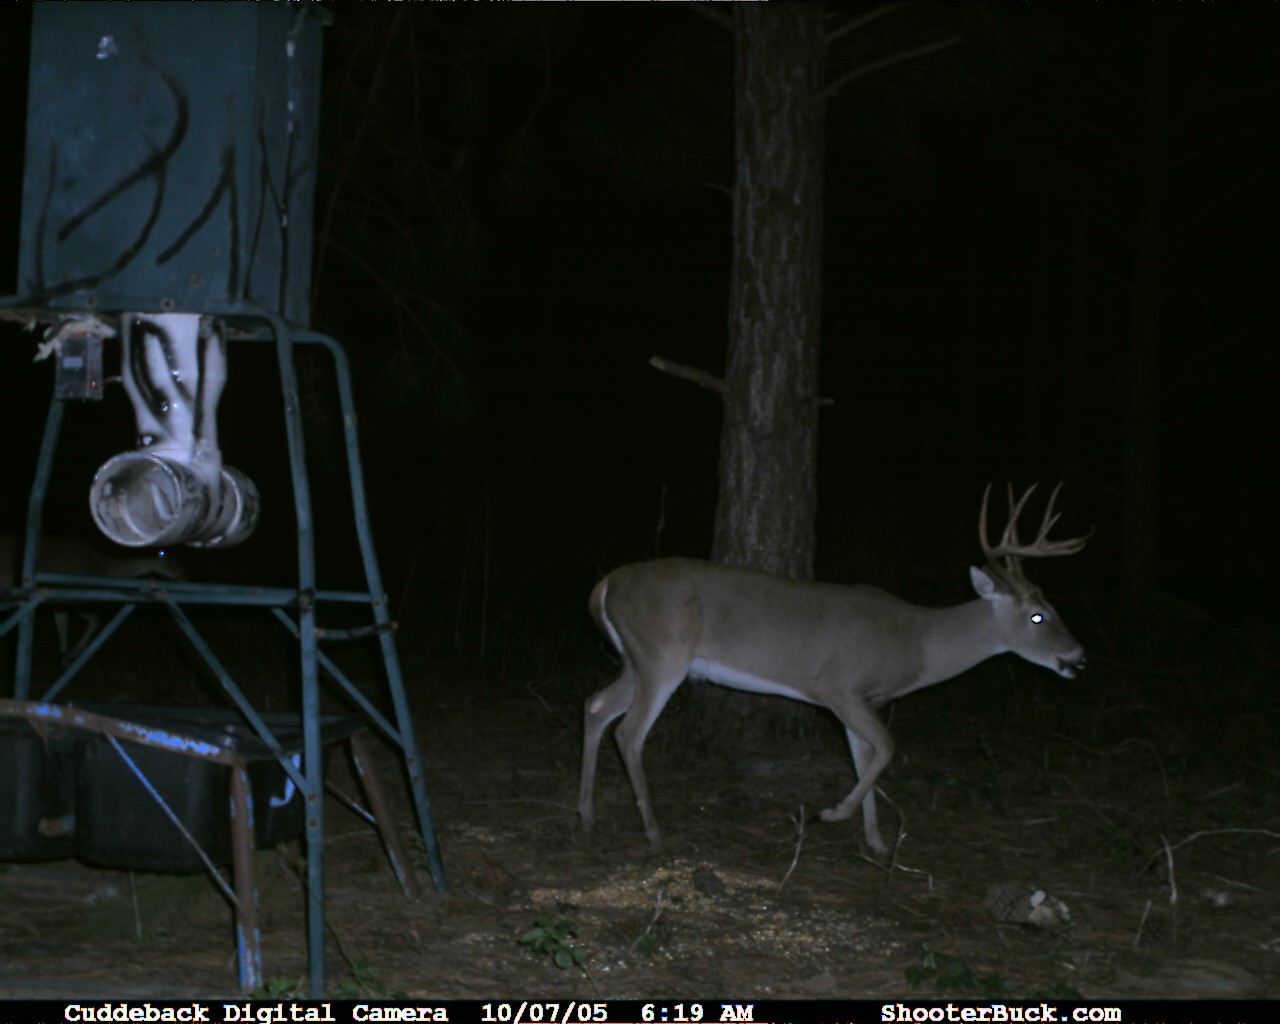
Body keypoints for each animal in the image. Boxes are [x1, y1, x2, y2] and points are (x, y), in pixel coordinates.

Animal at [0, 534, 185, 664]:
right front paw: (72, 655)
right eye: (162, 552)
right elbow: (94, 620)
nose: (182, 572)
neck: (105, 569)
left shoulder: (57, 601)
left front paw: (64, 658)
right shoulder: (71, 597)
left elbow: (62, 625)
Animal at [578, 483, 1091, 855]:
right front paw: (833, 814)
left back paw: (585, 814)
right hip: (662, 655)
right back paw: (653, 831)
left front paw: (876, 842)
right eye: (1038, 616)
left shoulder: (860, 699)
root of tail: (605, 585)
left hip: (637, 659)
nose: (1079, 656)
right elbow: (887, 746)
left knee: (596, 705)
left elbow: (865, 754)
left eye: (1052, 607)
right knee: (629, 732)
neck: (917, 642)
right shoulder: (839, 687)